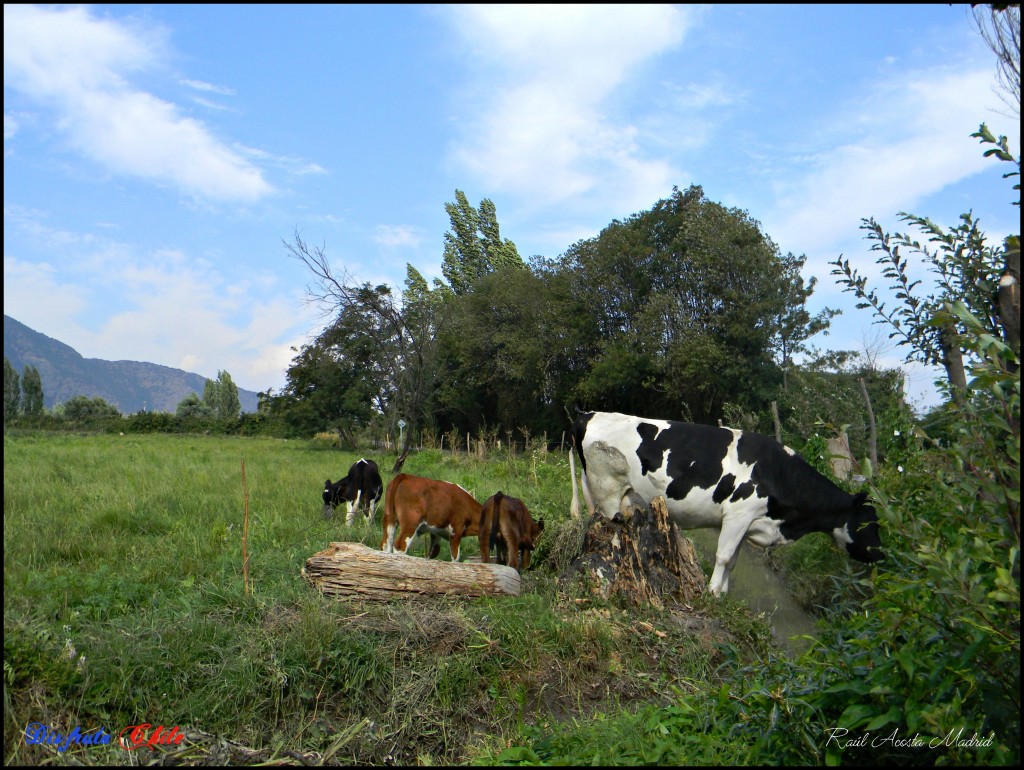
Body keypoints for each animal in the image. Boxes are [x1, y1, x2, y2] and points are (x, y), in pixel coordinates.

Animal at [565, 409, 884, 593]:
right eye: (870, 523)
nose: (882, 555)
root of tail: (589, 414)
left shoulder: (746, 522)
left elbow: (734, 561)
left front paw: (722, 593)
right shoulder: (739, 514)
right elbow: (724, 556)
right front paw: (711, 591)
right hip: (608, 491)